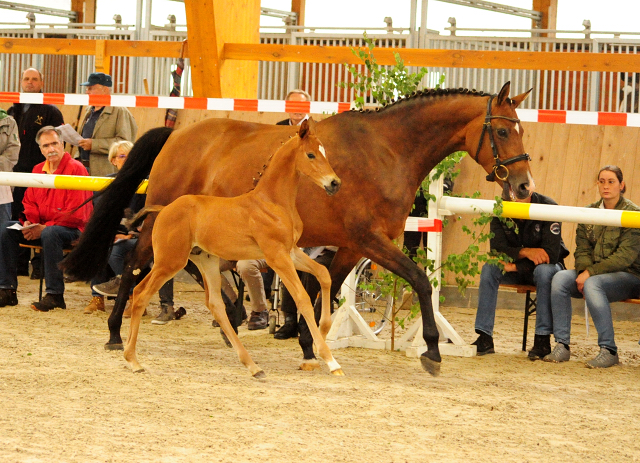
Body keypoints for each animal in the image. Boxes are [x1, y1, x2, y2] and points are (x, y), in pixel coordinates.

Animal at [125, 118, 344, 376]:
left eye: (324, 152)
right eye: (311, 154)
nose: (334, 183)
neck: (272, 202)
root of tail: (163, 209)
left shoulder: (291, 251)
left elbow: (324, 274)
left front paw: (324, 331)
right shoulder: (276, 256)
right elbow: (302, 298)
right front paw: (331, 361)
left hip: (205, 261)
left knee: (215, 304)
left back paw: (253, 366)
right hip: (169, 261)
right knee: (140, 293)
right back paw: (133, 360)